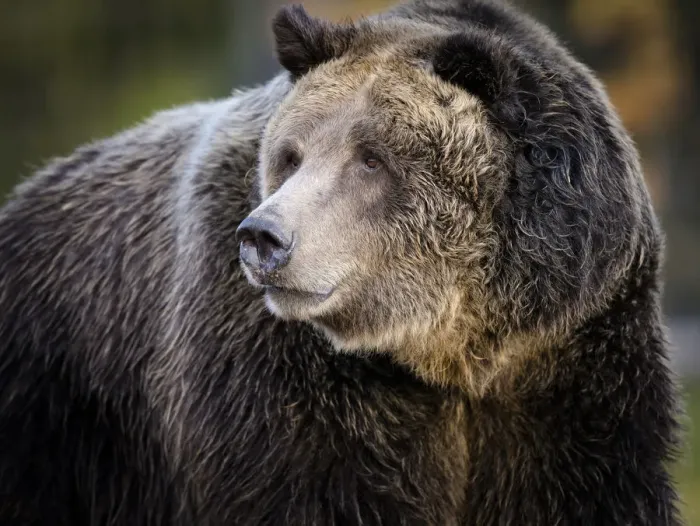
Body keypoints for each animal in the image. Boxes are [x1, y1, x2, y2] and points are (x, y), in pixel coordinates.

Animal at [0, 1, 683, 526]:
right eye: (292, 154)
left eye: (371, 158)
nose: (263, 237)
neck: (456, 348)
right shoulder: (283, 377)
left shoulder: (574, 353)